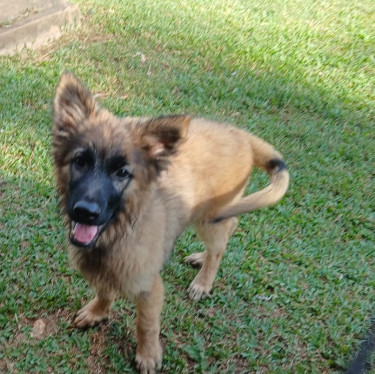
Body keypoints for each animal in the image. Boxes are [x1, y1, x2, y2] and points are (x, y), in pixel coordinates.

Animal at [51, 72, 290, 372]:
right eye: (80, 161)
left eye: (122, 172)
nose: (85, 212)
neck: (118, 231)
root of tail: (241, 136)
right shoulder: (104, 272)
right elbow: (105, 292)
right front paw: (98, 312)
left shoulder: (150, 287)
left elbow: (146, 324)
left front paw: (148, 354)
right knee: (232, 224)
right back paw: (200, 258)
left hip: (208, 219)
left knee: (219, 246)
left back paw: (203, 281)